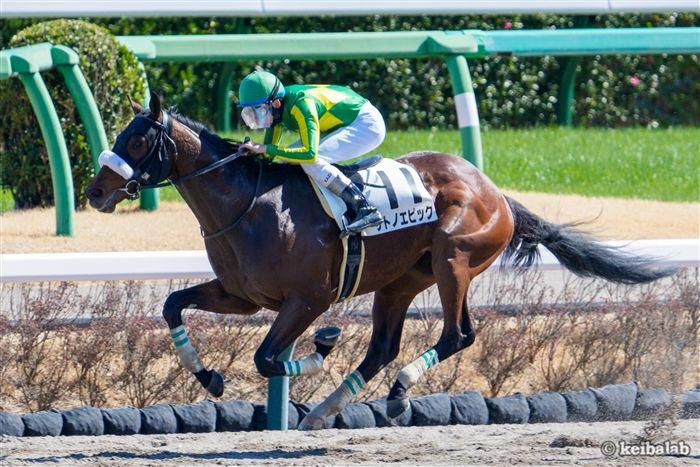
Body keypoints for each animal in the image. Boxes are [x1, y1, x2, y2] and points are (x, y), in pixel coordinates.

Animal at [85, 94, 676, 432]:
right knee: (384, 347)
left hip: (454, 259)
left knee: (457, 335)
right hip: (400, 282)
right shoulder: (243, 296)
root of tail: (497, 193)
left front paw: (322, 346)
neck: (249, 205)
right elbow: (172, 305)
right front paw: (208, 377)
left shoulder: (308, 299)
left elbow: (268, 359)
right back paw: (323, 412)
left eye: (138, 139)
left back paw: (393, 394)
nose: (95, 190)